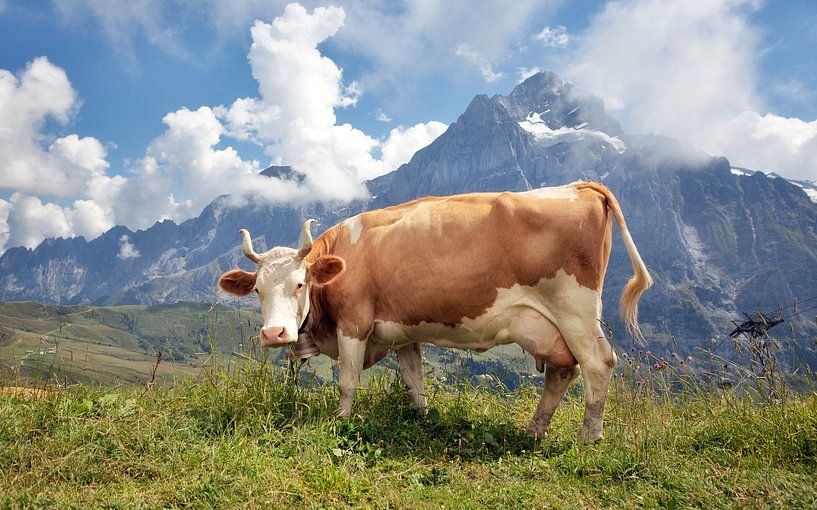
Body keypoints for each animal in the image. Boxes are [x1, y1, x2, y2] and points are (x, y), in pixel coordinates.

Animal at [217, 182, 652, 442]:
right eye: (257, 290)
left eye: (299, 284)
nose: (274, 334)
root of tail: (579, 186)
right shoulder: (402, 333)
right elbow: (415, 382)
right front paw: (424, 419)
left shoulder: (354, 324)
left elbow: (347, 383)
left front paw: (341, 421)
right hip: (545, 325)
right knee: (563, 371)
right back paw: (533, 430)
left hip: (576, 311)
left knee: (597, 364)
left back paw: (589, 437)